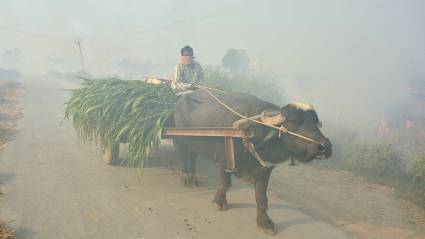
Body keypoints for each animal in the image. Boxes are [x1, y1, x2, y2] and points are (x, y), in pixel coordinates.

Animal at [171, 89, 330, 235]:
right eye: (293, 121)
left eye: (316, 122)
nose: (325, 146)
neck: (249, 132)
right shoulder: (224, 161)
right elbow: (225, 183)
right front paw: (219, 201)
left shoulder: (264, 169)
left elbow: (261, 197)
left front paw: (264, 223)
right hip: (180, 138)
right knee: (182, 154)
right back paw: (186, 178)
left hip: (194, 144)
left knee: (192, 156)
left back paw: (193, 178)